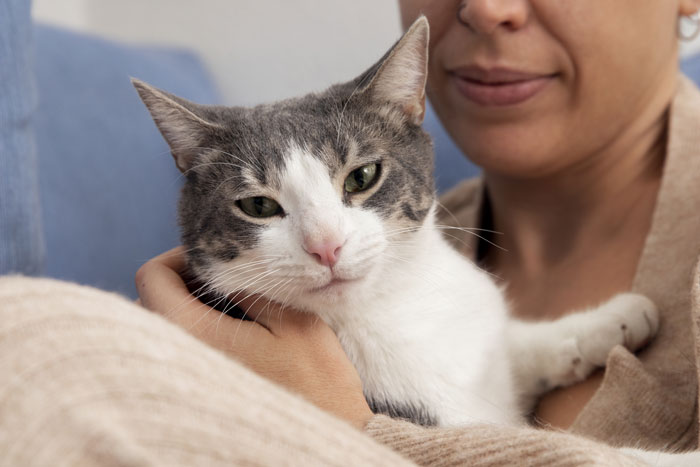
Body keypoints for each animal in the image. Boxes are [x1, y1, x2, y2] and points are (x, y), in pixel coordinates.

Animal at [133, 16, 700, 466]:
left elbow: (514, 342)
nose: (326, 247)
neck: (391, 305)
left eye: (362, 176)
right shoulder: (427, 419)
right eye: (257, 206)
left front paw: (614, 319)